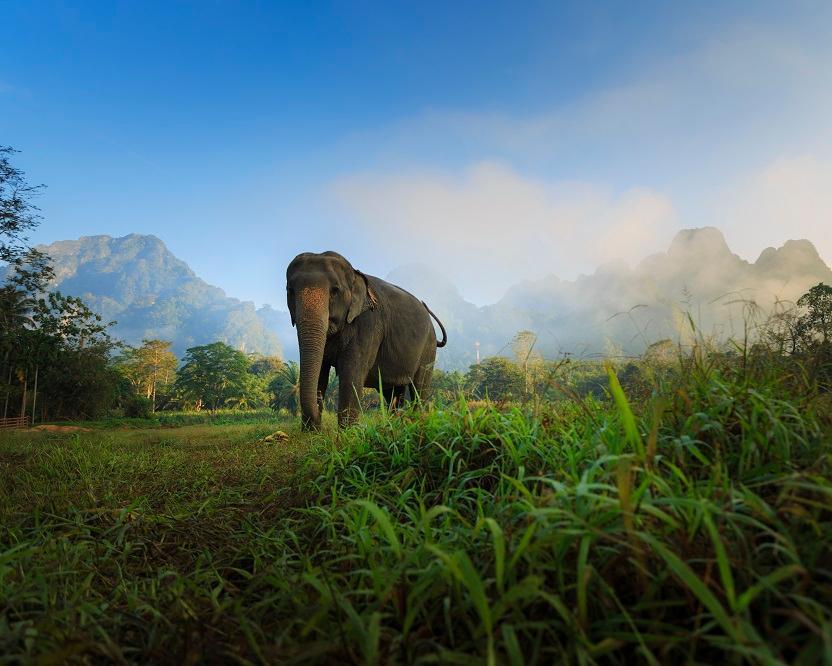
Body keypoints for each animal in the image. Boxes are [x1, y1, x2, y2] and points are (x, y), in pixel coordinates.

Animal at [286, 252, 446, 428]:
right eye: (290, 291)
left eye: (335, 291)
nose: (317, 424)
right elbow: (321, 370)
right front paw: (311, 432)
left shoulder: (368, 324)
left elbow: (352, 372)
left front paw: (347, 433)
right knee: (393, 393)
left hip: (428, 349)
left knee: (419, 388)